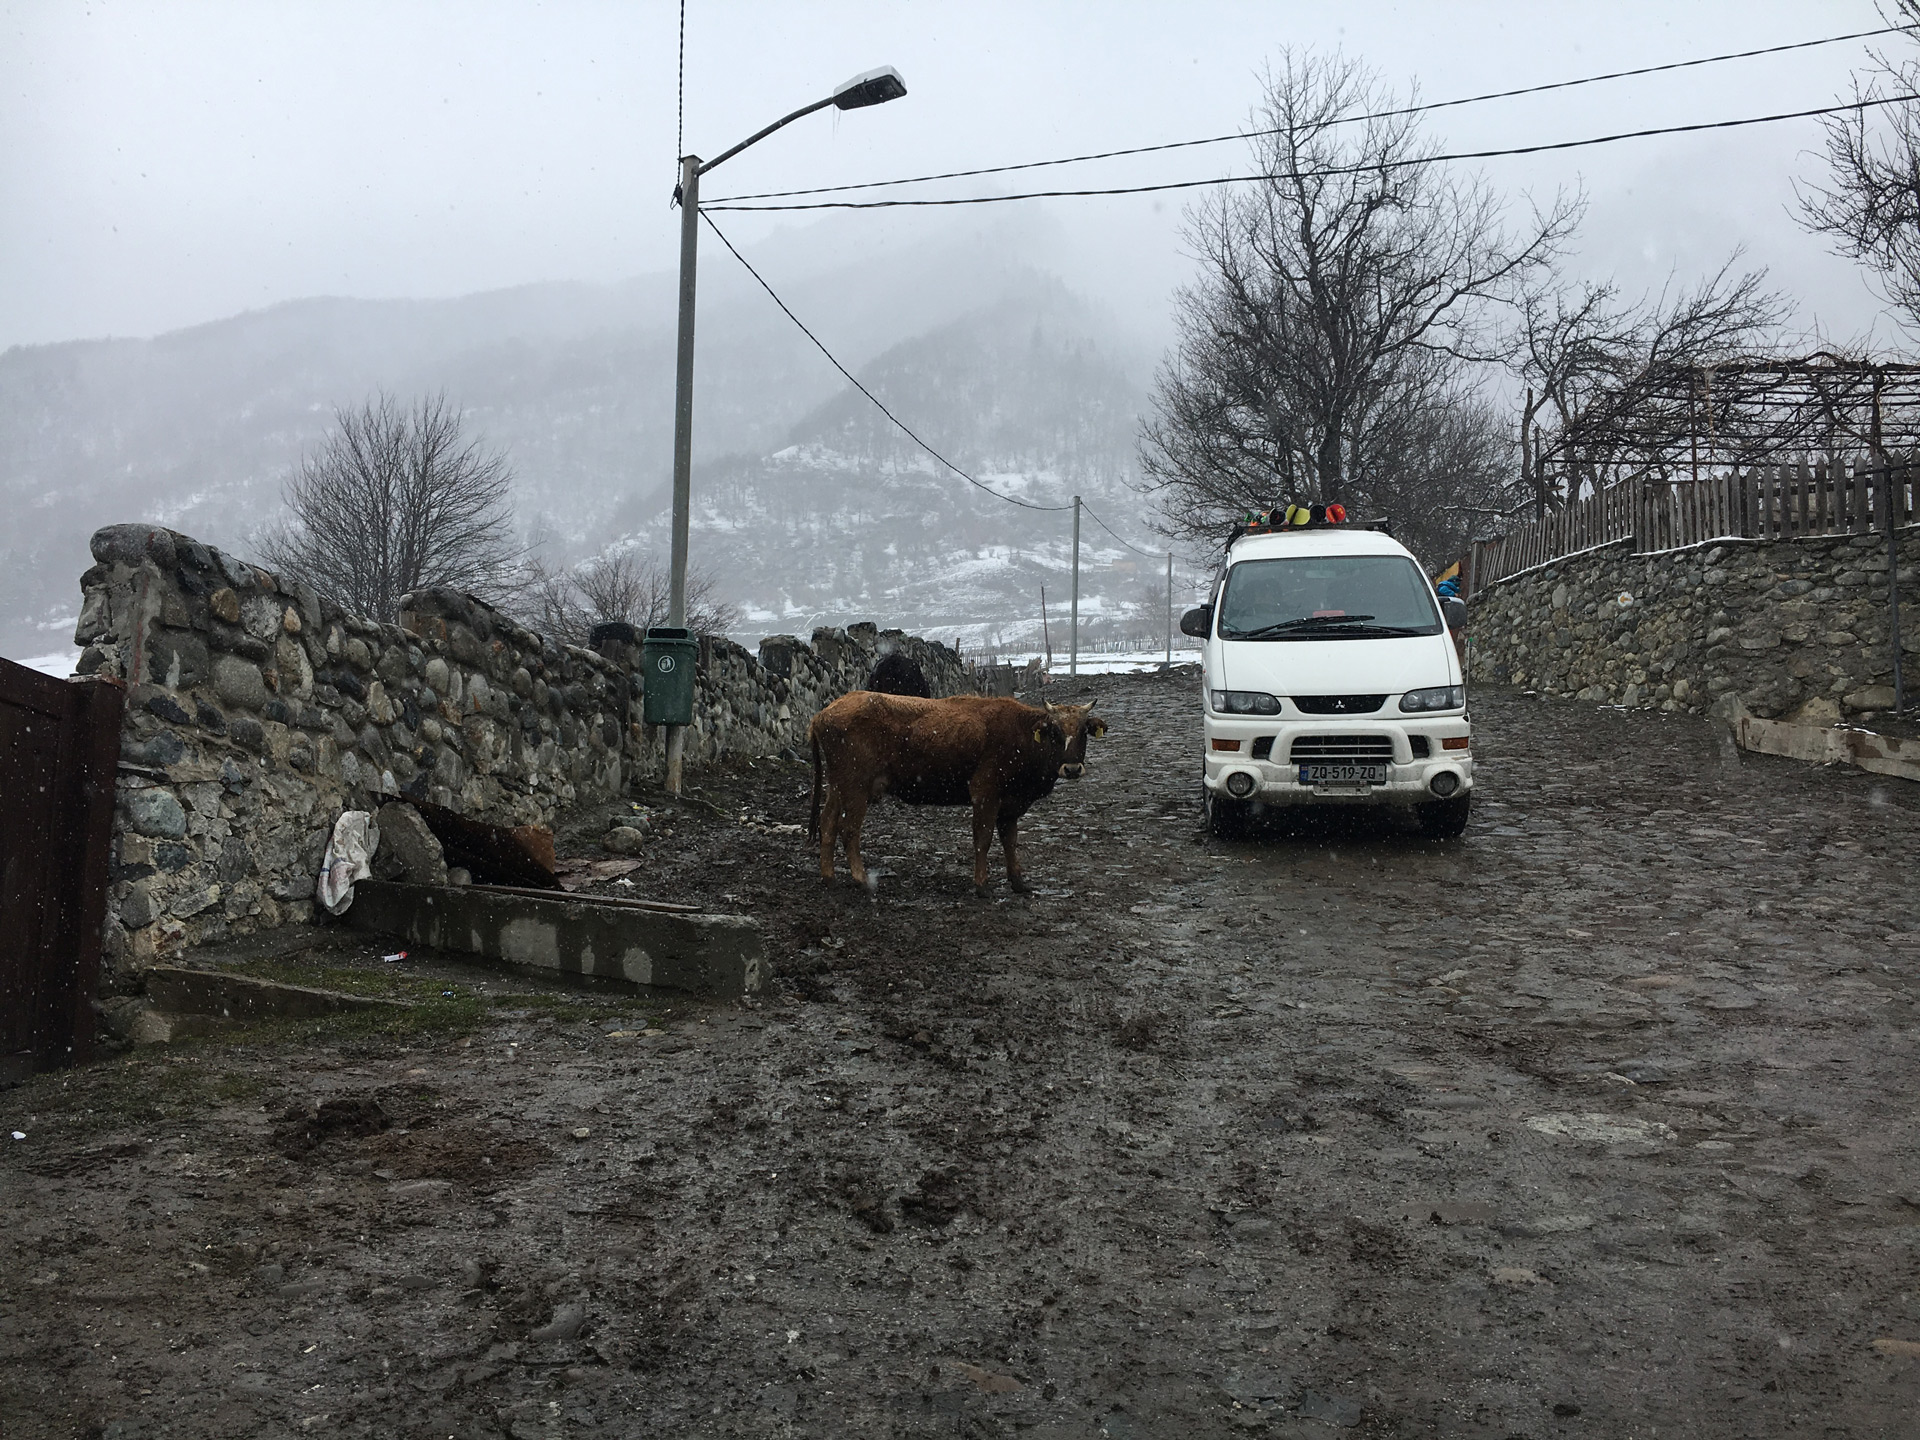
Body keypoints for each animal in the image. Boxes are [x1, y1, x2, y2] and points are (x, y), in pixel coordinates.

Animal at [810, 695, 1113, 898]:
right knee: (849, 829)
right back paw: (861, 880)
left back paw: (828, 877)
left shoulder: (1011, 805)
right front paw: (982, 885)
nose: (1072, 768)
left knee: (828, 824)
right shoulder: (985, 794)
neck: (1020, 734)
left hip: (838, 787)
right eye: (1055, 731)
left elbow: (1010, 841)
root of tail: (824, 713)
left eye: (1084, 731)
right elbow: (983, 839)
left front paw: (1018, 882)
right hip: (855, 788)